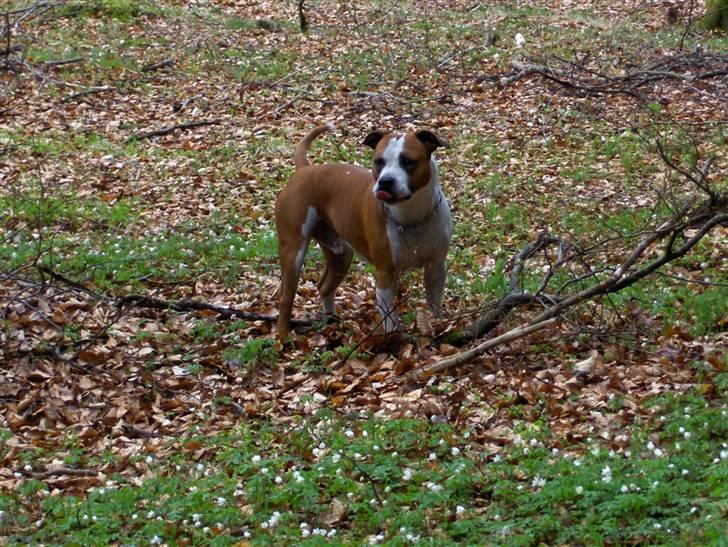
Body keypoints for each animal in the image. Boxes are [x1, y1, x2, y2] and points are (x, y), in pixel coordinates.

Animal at [274, 124, 450, 340]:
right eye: (378, 161)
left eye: (408, 161)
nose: (386, 181)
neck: (411, 216)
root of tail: (306, 168)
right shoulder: (385, 273)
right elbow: (389, 318)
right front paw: (392, 341)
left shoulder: (436, 267)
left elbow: (434, 304)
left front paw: (439, 326)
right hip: (293, 251)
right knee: (286, 297)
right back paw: (283, 336)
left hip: (340, 253)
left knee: (325, 286)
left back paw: (332, 322)